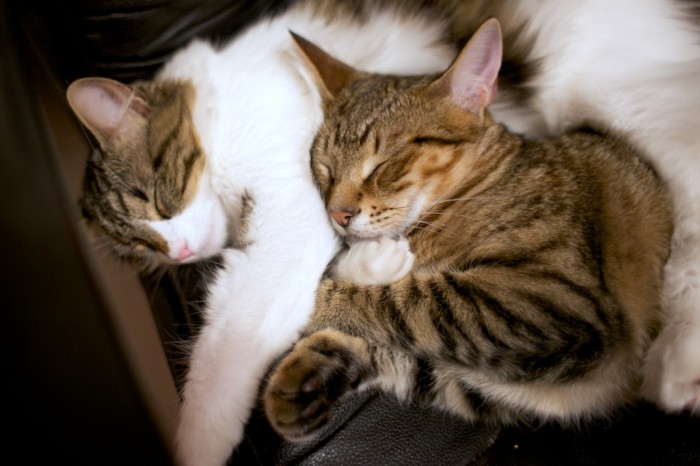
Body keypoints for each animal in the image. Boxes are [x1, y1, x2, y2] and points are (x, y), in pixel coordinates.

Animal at [68, 0, 456, 466]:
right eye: (142, 247)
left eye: (157, 201)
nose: (178, 254)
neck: (214, 114)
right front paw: (374, 261)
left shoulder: (291, 204)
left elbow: (226, 349)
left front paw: (198, 445)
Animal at [262, 18, 672, 440]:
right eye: (325, 167)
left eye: (385, 163)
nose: (337, 214)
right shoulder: (472, 376)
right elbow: (400, 351)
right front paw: (306, 377)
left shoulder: (546, 299)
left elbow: (397, 303)